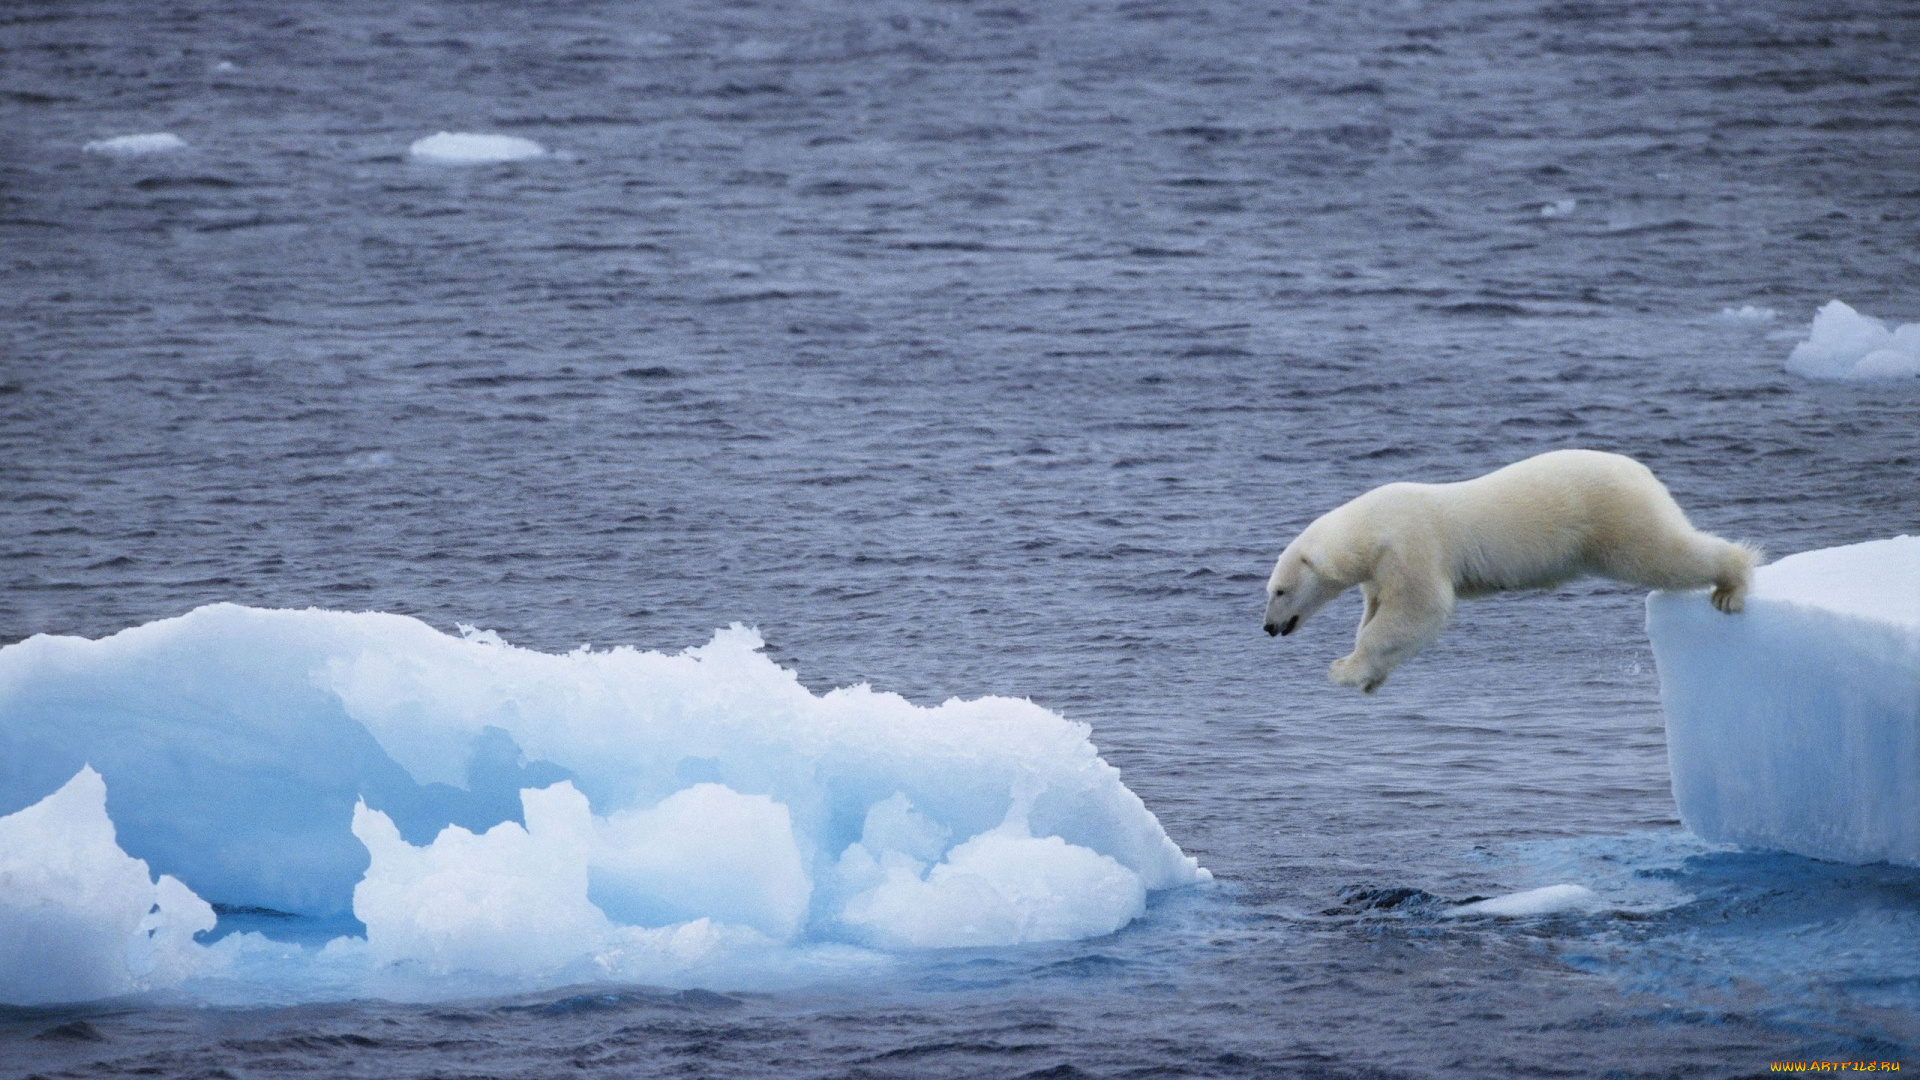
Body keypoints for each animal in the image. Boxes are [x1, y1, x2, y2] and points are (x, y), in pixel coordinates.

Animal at [1261, 449, 1759, 694]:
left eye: (1280, 590)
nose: (1268, 627)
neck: (1370, 527)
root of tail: (1642, 472)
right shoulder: (1380, 568)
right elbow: (1382, 615)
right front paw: (1369, 677)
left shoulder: (1410, 545)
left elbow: (1420, 608)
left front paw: (1343, 669)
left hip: (1614, 516)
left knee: (1662, 554)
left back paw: (1731, 584)